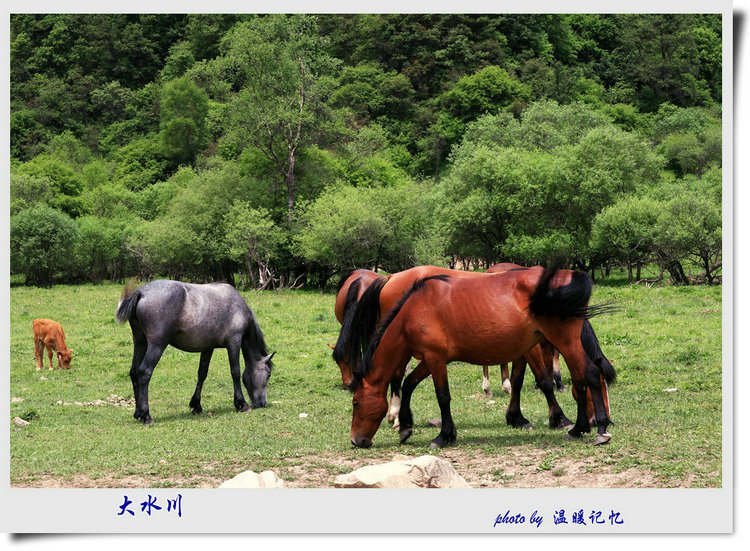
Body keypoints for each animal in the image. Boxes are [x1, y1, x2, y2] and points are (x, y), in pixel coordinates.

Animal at [114, 280, 274, 426]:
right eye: (268, 374)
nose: (263, 403)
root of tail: (141, 292)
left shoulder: (208, 348)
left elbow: (202, 373)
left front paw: (196, 405)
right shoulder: (234, 343)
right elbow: (235, 371)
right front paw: (241, 403)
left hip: (140, 343)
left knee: (134, 372)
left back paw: (138, 413)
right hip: (156, 345)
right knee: (144, 373)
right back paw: (146, 415)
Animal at [352, 266, 616, 450]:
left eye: (355, 403)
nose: (356, 440)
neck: (415, 308)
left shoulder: (435, 358)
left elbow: (442, 396)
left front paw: (444, 435)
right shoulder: (429, 358)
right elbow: (409, 384)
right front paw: (406, 426)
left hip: (565, 341)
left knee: (589, 373)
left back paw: (599, 430)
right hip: (566, 342)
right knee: (581, 378)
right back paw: (581, 428)